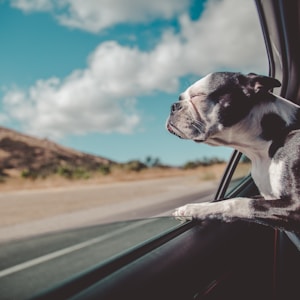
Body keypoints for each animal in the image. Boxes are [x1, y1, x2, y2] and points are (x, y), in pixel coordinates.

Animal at [166, 72, 300, 232]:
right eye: (180, 98)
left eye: (198, 96)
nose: (173, 106)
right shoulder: (266, 196)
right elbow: (224, 199)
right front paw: (193, 208)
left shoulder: (294, 206)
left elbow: (236, 202)